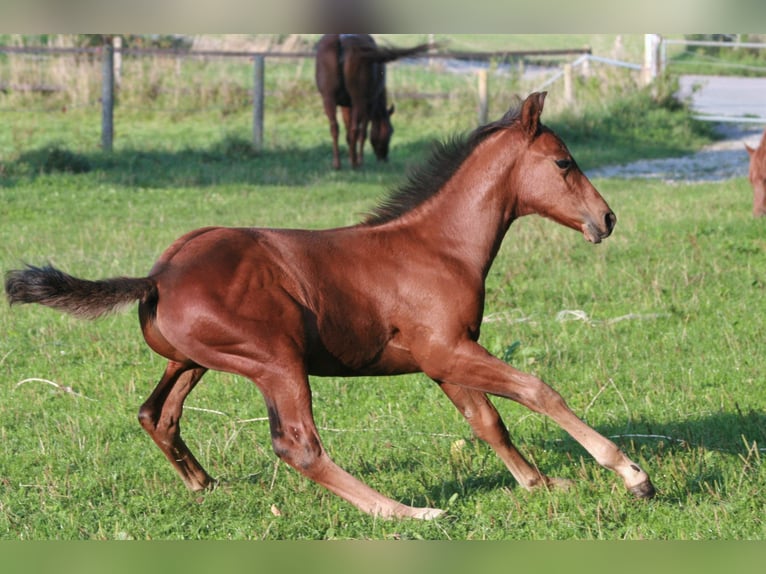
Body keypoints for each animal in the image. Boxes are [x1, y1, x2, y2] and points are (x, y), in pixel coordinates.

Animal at [4, 92, 656, 520]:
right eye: (564, 163)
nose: (607, 219)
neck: (439, 247)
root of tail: (159, 275)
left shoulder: (442, 359)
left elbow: (487, 420)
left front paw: (540, 484)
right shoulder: (448, 350)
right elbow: (537, 390)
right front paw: (631, 475)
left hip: (193, 360)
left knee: (155, 415)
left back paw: (205, 485)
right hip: (276, 361)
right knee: (298, 446)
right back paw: (404, 513)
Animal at [314, 34, 432, 170]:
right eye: (391, 131)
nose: (385, 159)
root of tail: (341, 41)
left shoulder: (346, 106)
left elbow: (348, 131)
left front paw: (351, 156)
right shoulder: (369, 105)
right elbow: (363, 133)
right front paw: (359, 160)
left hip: (328, 99)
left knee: (334, 128)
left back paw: (337, 163)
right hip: (358, 100)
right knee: (355, 130)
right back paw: (355, 164)